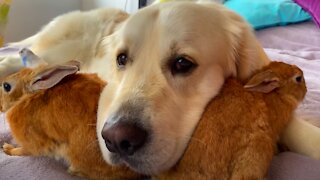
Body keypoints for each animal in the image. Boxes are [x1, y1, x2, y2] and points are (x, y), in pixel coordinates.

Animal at [0, 48, 140, 179]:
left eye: (6, 86)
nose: (0, 106)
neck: (26, 98)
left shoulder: (33, 143)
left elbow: (23, 151)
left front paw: (7, 148)